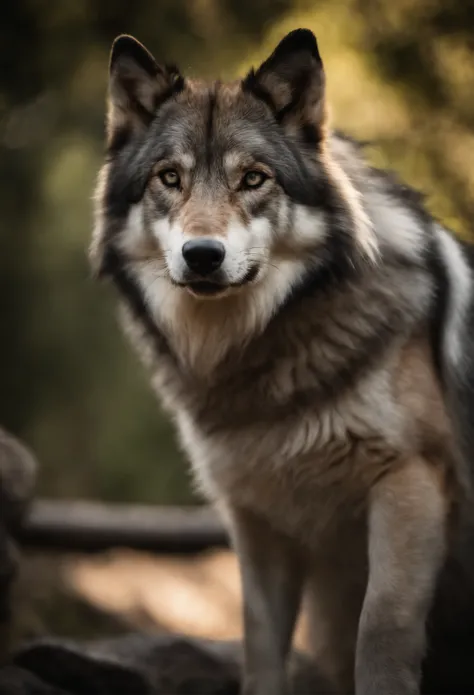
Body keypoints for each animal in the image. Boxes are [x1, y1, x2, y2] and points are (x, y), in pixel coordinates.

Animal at [90, 28, 474, 695]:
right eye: (170, 177)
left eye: (253, 179)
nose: (203, 255)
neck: (257, 364)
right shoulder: (259, 523)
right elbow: (262, 649)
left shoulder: (411, 486)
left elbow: (382, 633)